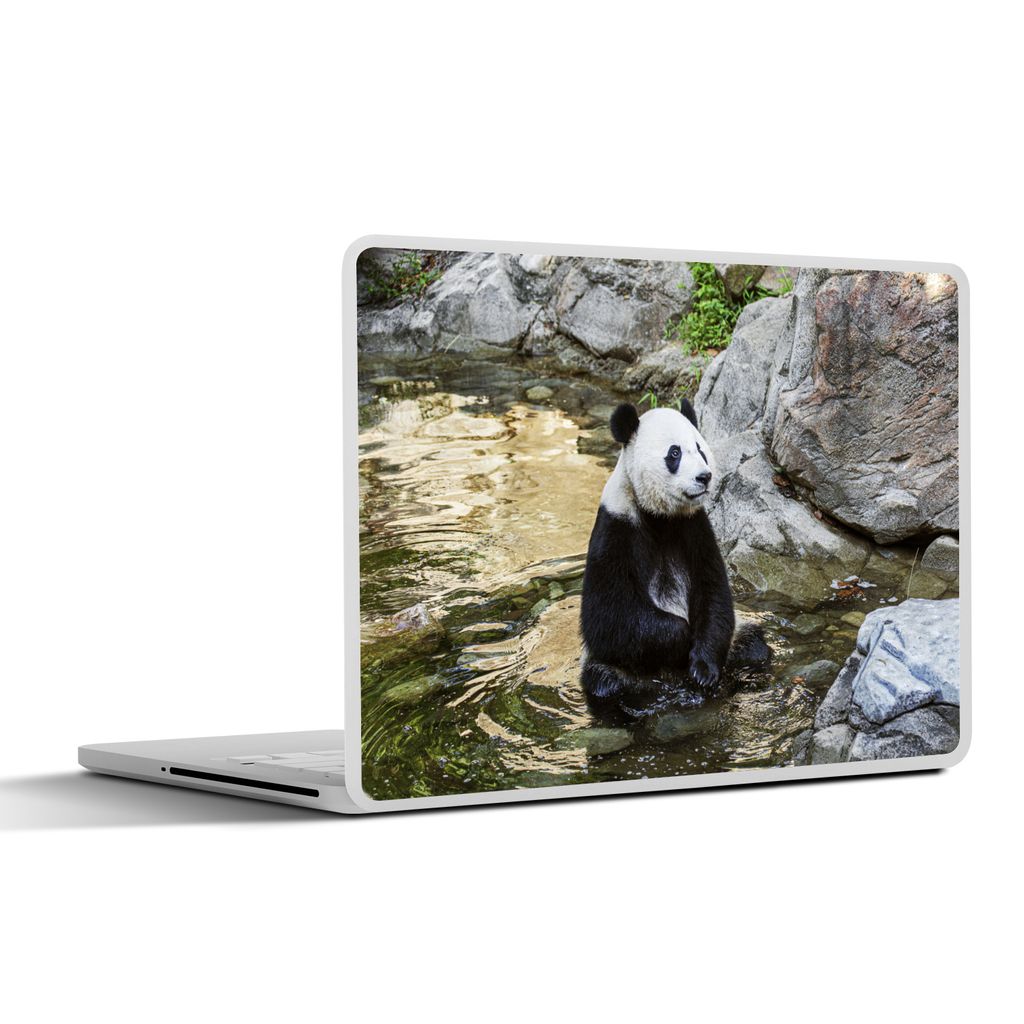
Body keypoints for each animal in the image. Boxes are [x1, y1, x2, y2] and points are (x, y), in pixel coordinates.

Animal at [579, 397, 768, 710]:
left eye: (700, 448)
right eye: (675, 453)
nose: (704, 477)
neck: (660, 515)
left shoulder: (695, 528)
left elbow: (714, 593)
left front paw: (703, 670)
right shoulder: (615, 528)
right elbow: (608, 616)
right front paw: (680, 638)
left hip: (739, 638)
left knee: (753, 646)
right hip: (611, 666)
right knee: (604, 681)